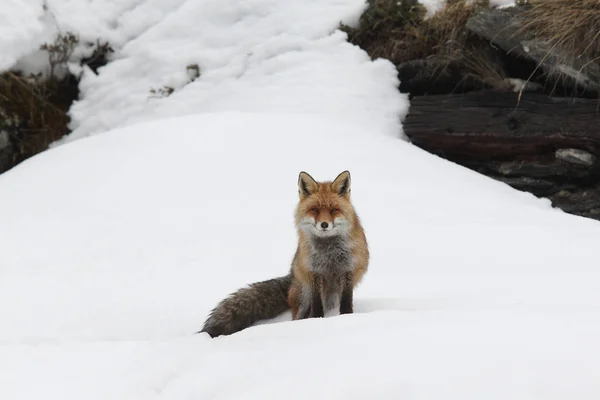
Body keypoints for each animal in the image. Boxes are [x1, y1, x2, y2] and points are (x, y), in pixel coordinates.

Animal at [202, 170, 368, 336]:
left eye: (334, 210)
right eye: (314, 209)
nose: (324, 225)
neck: (328, 252)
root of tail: (292, 275)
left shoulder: (347, 271)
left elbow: (346, 302)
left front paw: (347, 318)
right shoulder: (313, 273)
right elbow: (317, 305)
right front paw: (317, 321)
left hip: (330, 296)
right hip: (304, 295)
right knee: (298, 317)